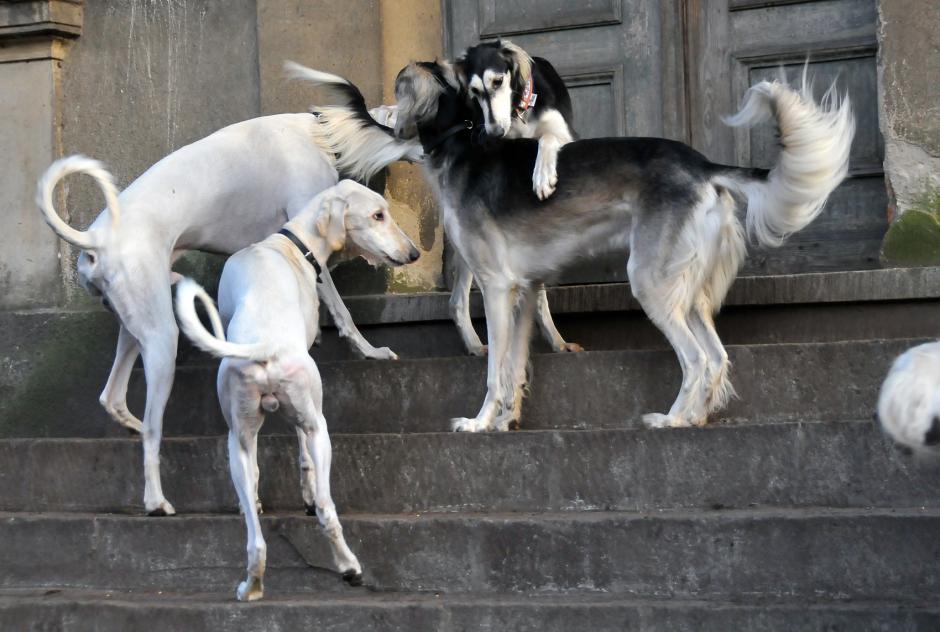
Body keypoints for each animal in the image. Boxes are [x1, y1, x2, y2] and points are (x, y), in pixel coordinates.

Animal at [35, 60, 420, 512]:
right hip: (163, 339)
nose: (414, 254)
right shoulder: (308, 243)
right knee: (152, 429)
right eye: (379, 215)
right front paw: (369, 350)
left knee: (112, 398)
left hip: (135, 328)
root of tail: (95, 239)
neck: (320, 135)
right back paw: (156, 500)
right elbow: (343, 312)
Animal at [176, 179, 418, 604]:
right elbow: (305, 462)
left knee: (255, 537)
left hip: (238, 442)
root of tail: (263, 346)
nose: (414, 253)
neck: (289, 244)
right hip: (320, 429)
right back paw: (350, 568)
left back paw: (252, 585)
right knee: (326, 508)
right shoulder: (308, 421)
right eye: (378, 214)